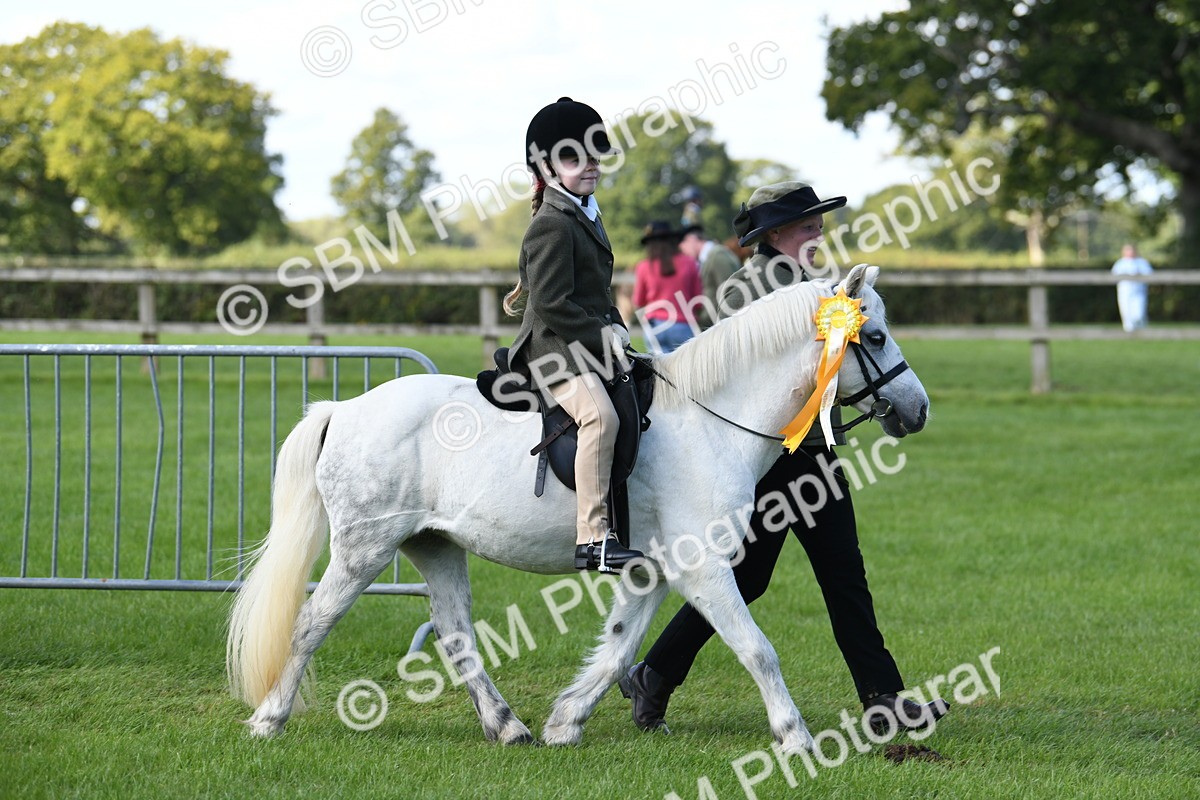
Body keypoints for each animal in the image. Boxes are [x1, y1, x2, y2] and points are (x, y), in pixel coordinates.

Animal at [225, 264, 929, 755]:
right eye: (875, 334)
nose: (917, 409)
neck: (709, 418)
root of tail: (343, 410)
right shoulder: (701, 567)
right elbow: (757, 648)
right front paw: (795, 735)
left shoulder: (651, 570)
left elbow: (619, 647)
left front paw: (566, 723)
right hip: (363, 549)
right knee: (311, 623)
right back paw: (267, 720)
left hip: (434, 545)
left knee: (456, 635)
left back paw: (509, 728)